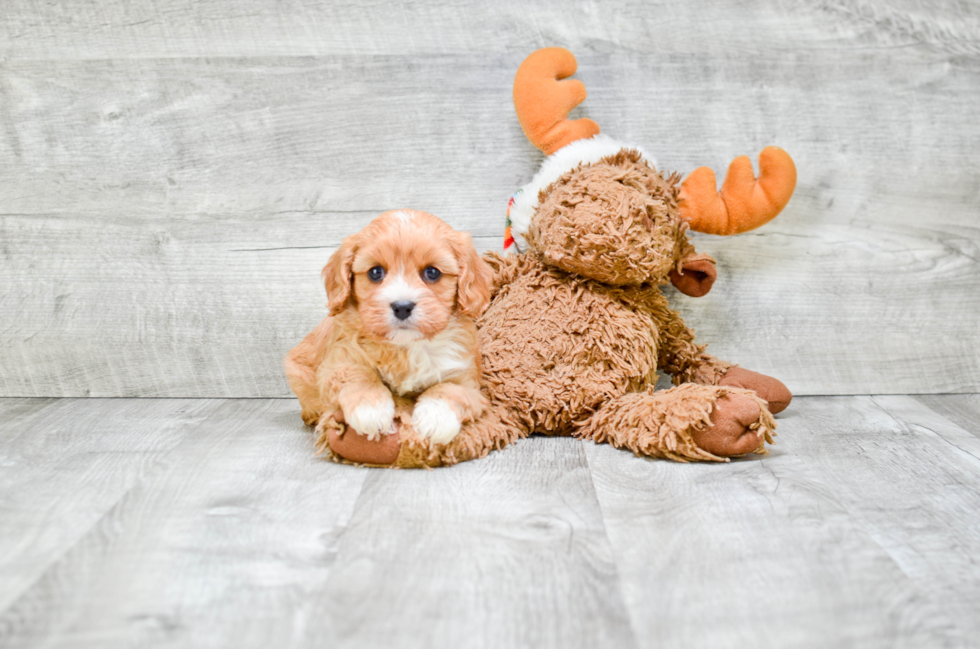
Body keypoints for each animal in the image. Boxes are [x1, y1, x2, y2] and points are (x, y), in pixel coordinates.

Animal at [288, 210, 494, 448]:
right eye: (375, 272)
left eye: (432, 272)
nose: (402, 306)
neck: (406, 345)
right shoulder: (339, 360)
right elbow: (357, 375)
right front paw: (370, 410)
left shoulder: (466, 377)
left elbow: (451, 390)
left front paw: (435, 420)